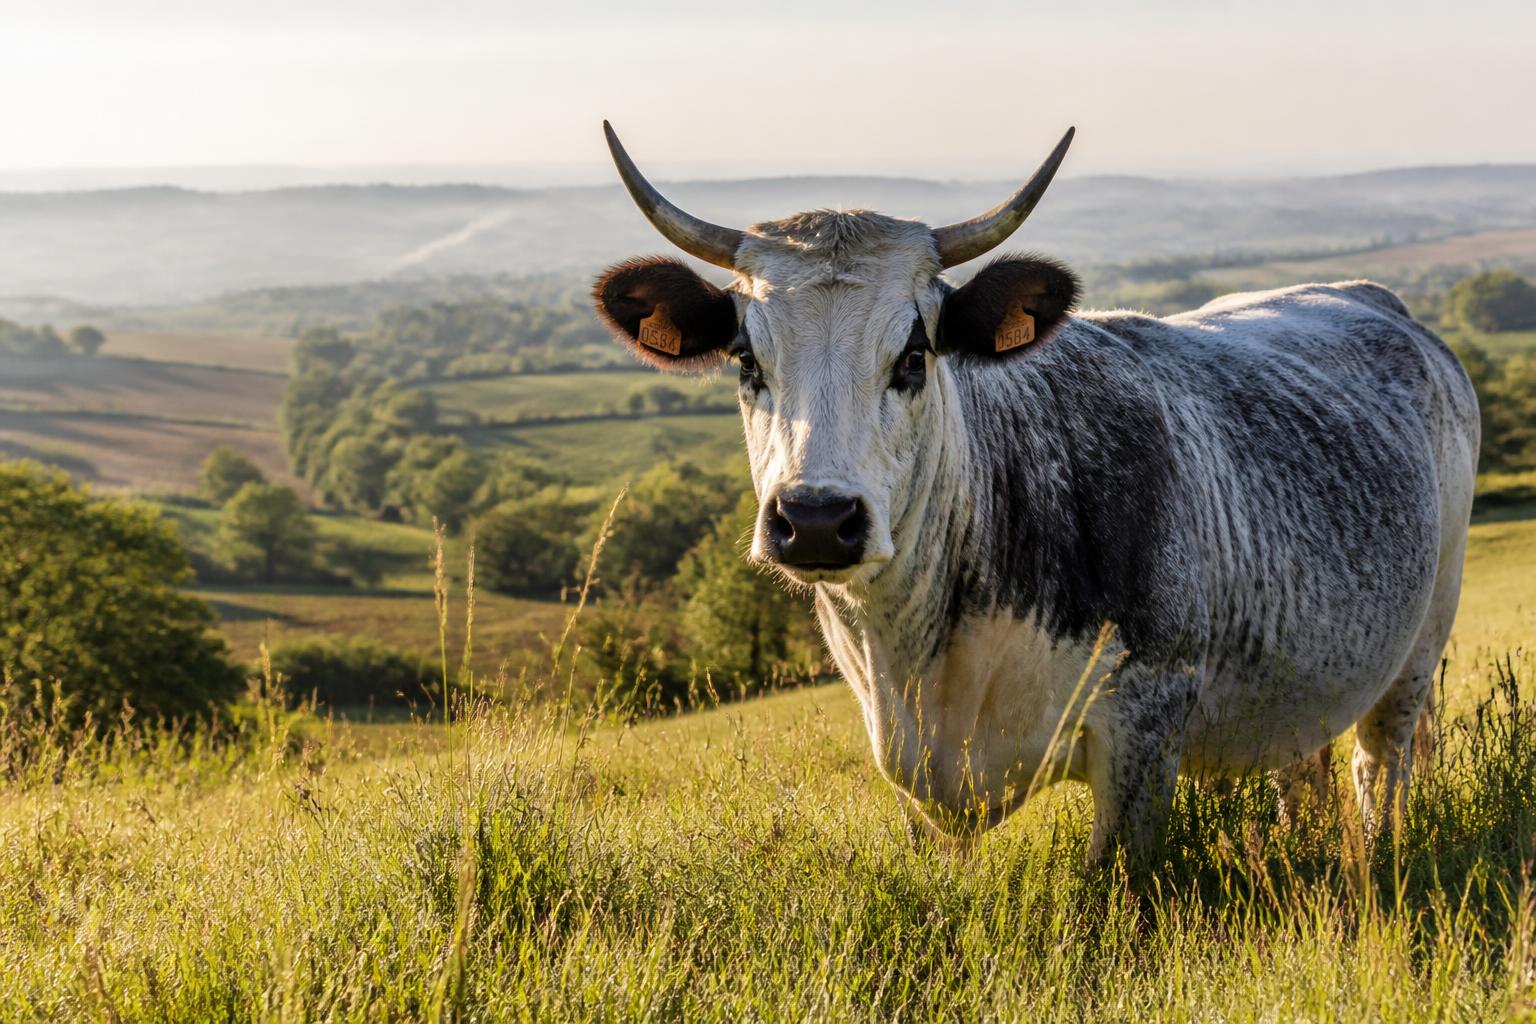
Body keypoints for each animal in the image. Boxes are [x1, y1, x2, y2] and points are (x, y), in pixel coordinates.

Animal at [590, 122, 1479, 866]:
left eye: (914, 355)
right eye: (745, 358)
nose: (814, 520)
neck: (920, 647)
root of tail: (1371, 297)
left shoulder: (1145, 722)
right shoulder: (911, 769)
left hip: (1419, 646)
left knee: (1381, 768)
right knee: (1305, 770)